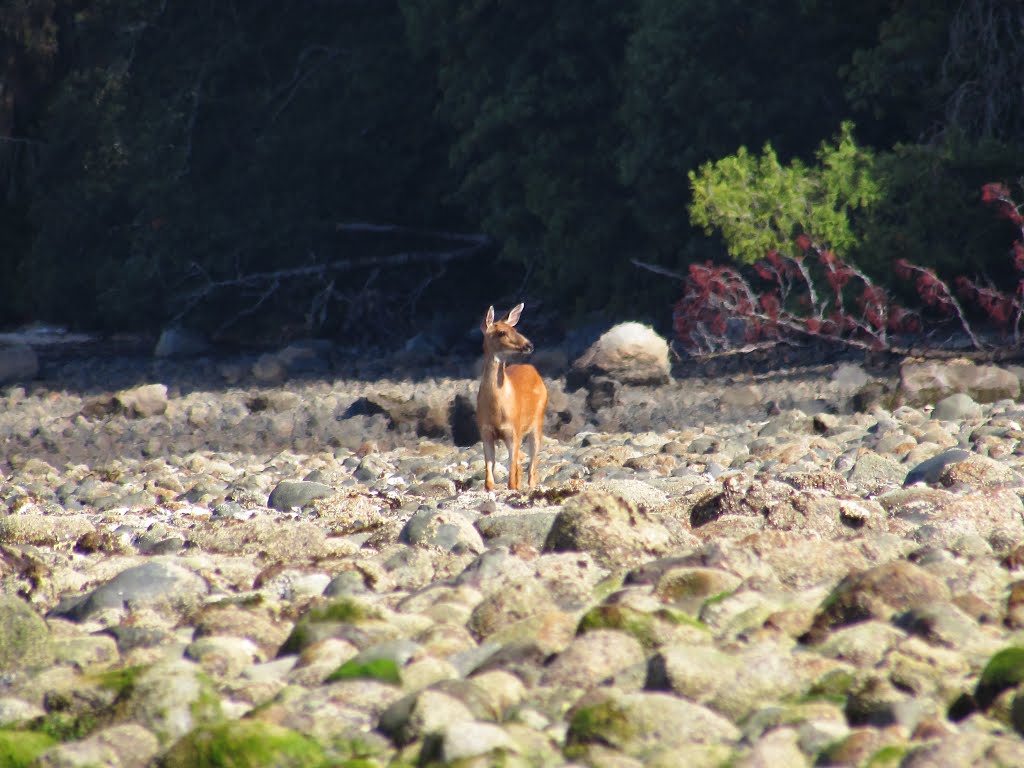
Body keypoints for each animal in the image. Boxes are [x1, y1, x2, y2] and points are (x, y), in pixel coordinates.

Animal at [475, 303, 548, 493]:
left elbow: (511, 478)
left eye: (514, 328)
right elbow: (489, 477)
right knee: (522, 460)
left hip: (538, 421)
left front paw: (514, 488)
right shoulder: (485, 432)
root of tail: (533, 369)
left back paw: (530, 487)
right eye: (501, 332)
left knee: (533, 462)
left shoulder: (513, 430)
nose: (529, 345)